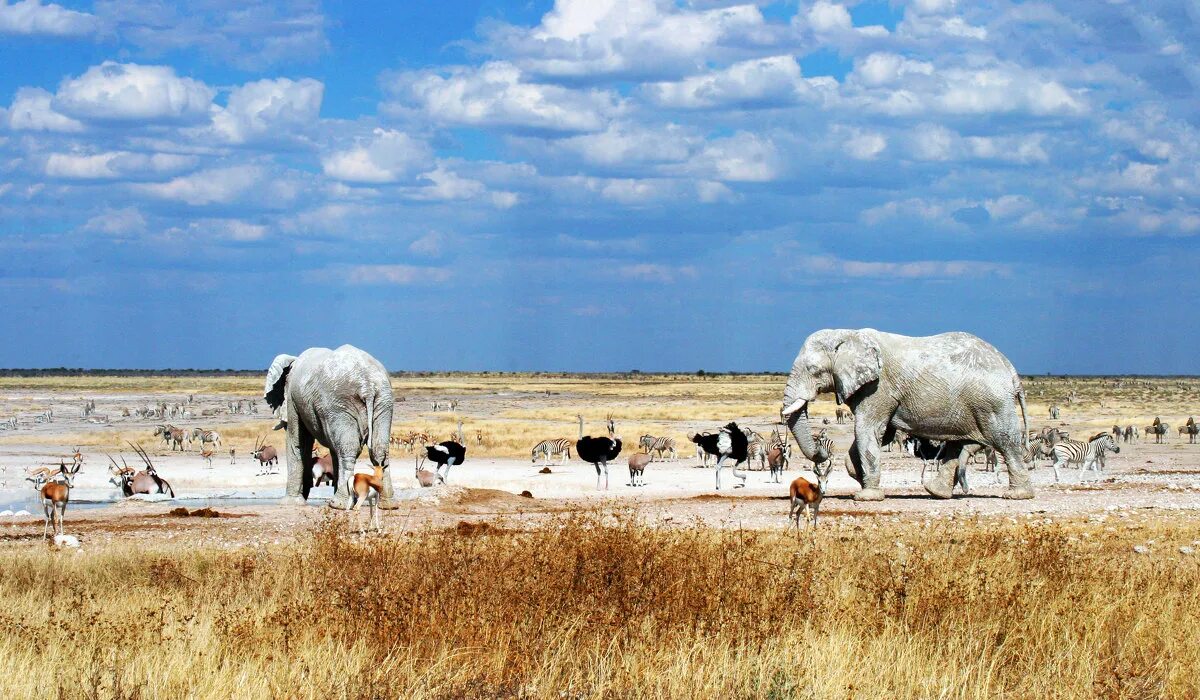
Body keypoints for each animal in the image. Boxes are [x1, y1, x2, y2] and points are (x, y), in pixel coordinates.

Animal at [264, 345, 398, 509]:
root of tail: (367, 385)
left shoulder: (292, 399)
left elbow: (297, 443)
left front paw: (289, 503)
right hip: (383, 401)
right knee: (380, 450)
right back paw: (388, 505)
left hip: (339, 403)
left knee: (348, 448)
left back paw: (337, 504)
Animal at [777, 328, 1032, 501]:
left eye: (813, 370)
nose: (822, 453)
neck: (849, 335)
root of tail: (1010, 369)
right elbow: (882, 434)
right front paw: (860, 478)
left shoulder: (879, 387)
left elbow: (868, 429)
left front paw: (867, 496)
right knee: (958, 444)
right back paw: (936, 493)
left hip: (992, 403)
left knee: (1005, 442)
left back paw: (1019, 495)